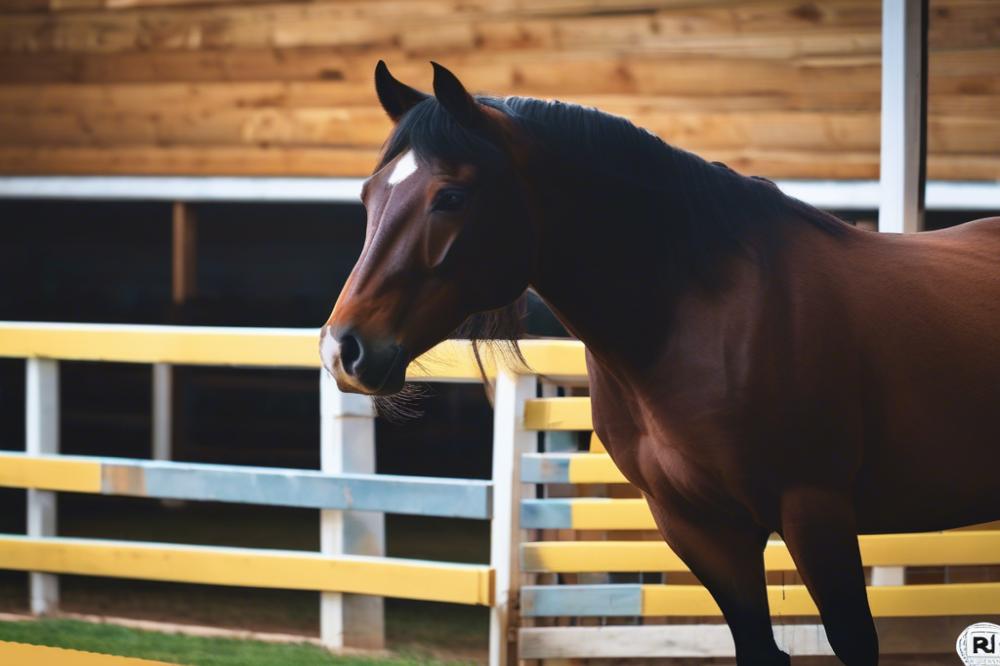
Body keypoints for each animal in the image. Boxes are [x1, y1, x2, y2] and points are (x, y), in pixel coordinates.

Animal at [320, 59, 1000, 660]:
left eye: (451, 196)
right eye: (368, 196)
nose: (341, 349)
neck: (705, 319)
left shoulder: (818, 514)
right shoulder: (701, 529)